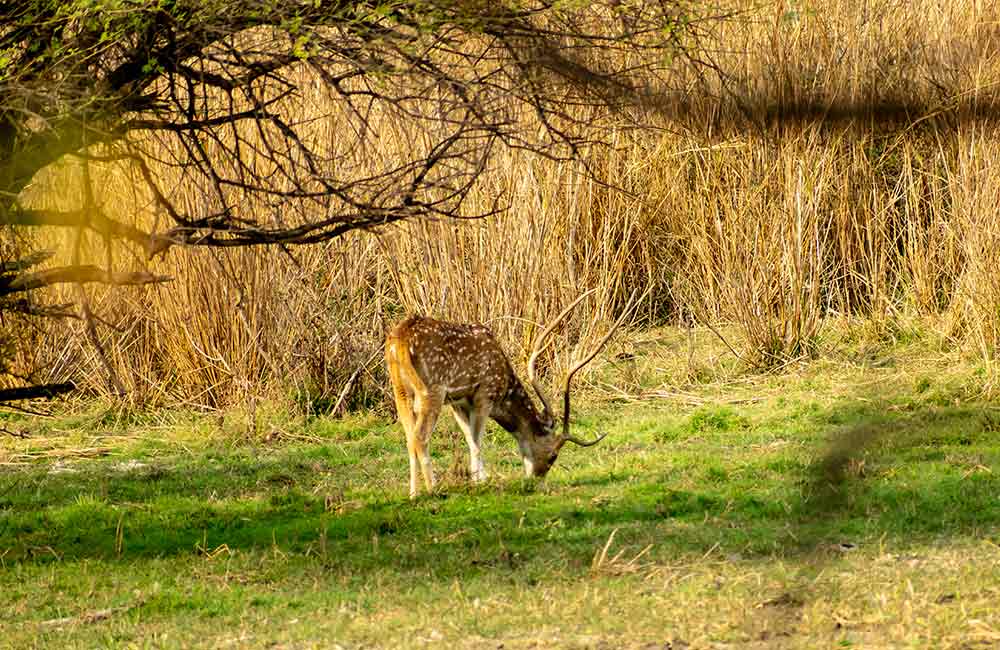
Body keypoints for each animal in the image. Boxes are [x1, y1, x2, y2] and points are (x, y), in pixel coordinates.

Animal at [386, 292, 628, 498]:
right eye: (553, 456)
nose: (536, 483)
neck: (504, 388)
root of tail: (398, 340)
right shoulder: (485, 392)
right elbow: (477, 440)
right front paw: (480, 482)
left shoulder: (458, 401)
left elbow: (469, 437)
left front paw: (477, 478)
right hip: (433, 388)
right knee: (420, 436)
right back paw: (434, 489)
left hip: (400, 390)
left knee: (409, 436)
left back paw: (413, 493)